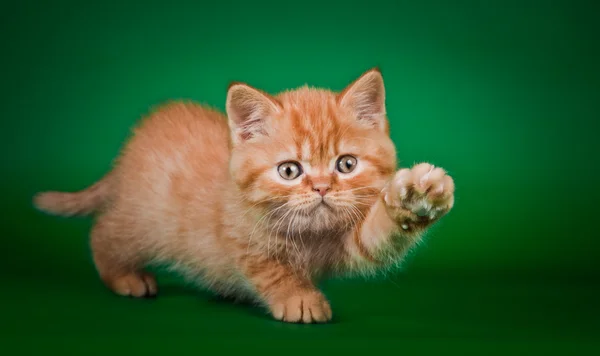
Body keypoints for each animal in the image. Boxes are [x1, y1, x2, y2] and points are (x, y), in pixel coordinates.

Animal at [32, 68, 454, 324]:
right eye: (289, 171)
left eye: (346, 164)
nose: (321, 188)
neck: (309, 235)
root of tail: (127, 153)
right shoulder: (239, 236)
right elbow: (271, 269)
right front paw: (299, 298)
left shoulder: (349, 239)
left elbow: (377, 236)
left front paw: (418, 195)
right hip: (142, 220)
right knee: (103, 232)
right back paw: (125, 277)